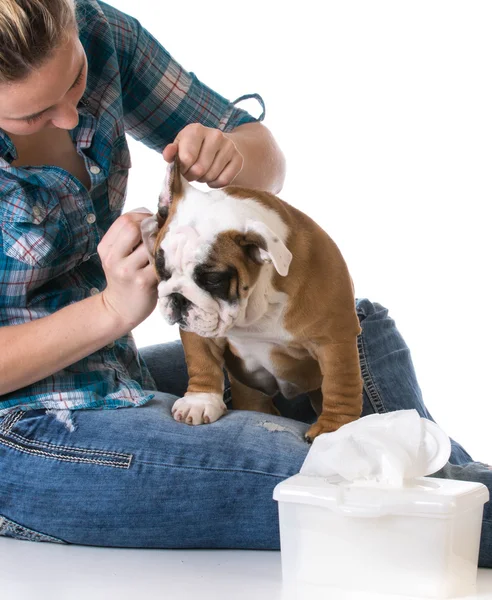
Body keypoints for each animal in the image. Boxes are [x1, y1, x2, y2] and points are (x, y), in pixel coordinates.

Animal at [140, 159, 364, 440]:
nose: (178, 298)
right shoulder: (199, 328)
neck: (255, 304)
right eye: (161, 269)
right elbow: (201, 359)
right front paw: (199, 401)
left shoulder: (334, 339)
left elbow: (340, 384)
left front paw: (335, 429)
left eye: (213, 279)